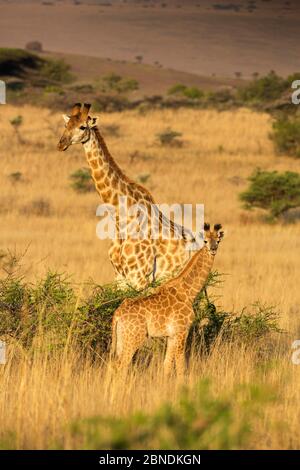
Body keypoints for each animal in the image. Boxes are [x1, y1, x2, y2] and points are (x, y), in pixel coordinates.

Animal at [57, 103, 197, 290]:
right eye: (66, 125)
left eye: (82, 127)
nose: (61, 144)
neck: (121, 220)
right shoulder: (120, 277)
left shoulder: (139, 277)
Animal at [111, 222, 224, 376]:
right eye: (205, 241)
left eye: (218, 241)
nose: (213, 250)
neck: (188, 292)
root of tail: (117, 315)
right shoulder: (181, 331)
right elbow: (181, 366)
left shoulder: (171, 336)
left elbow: (167, 365)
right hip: (134, 338)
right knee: (122, 366)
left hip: (121, 338)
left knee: (113, 365)